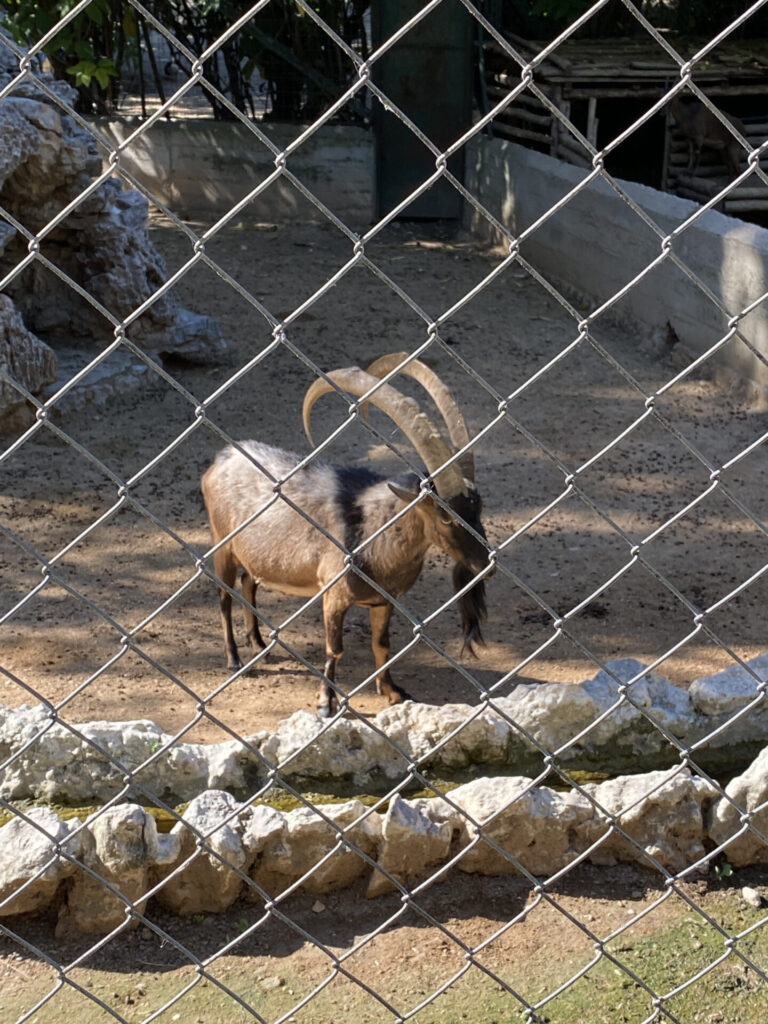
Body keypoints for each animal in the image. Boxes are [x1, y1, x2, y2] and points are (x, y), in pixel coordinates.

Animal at [202, 356, 493, 716]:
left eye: (478, 505)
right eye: (445, 515)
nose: (486, 564)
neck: (373, 531)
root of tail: (222, 458)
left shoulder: (384, 600)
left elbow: (381, 644)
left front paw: (392, 691)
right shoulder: (334, 594)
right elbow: (334, 648)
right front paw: (326, 704)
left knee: (248, 583)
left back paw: (257, 643)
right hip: (222, 544)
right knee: (224, 595)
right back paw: (234, 658)